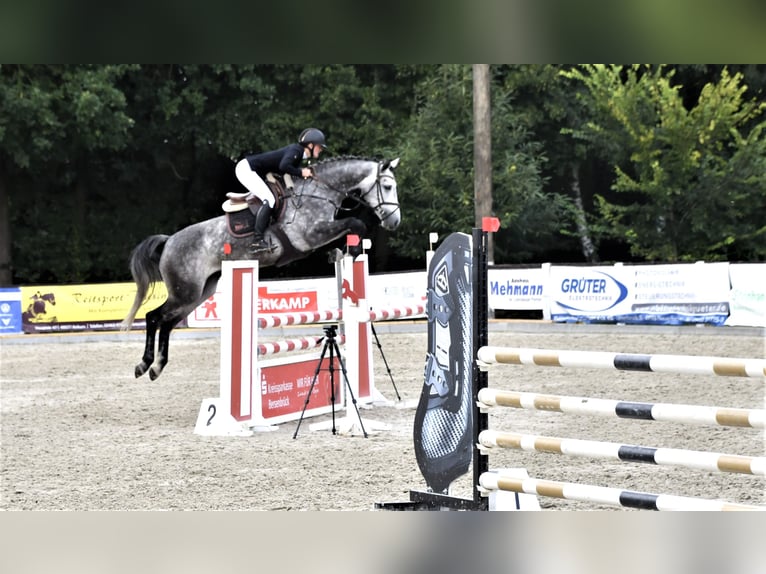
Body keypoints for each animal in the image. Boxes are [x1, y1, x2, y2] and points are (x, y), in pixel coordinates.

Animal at [121, 156, 402, 382]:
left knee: (167, 323)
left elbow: (353, 226)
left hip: (198, 294)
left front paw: (344, 252)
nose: (394, 222)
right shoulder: (311, 235)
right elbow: (356, 223)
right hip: (184, 292)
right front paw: (351, 251)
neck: (320, 191)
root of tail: (168, 241)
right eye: (387, 187)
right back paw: (144, 365)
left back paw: (156, 368)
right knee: (154, 317)